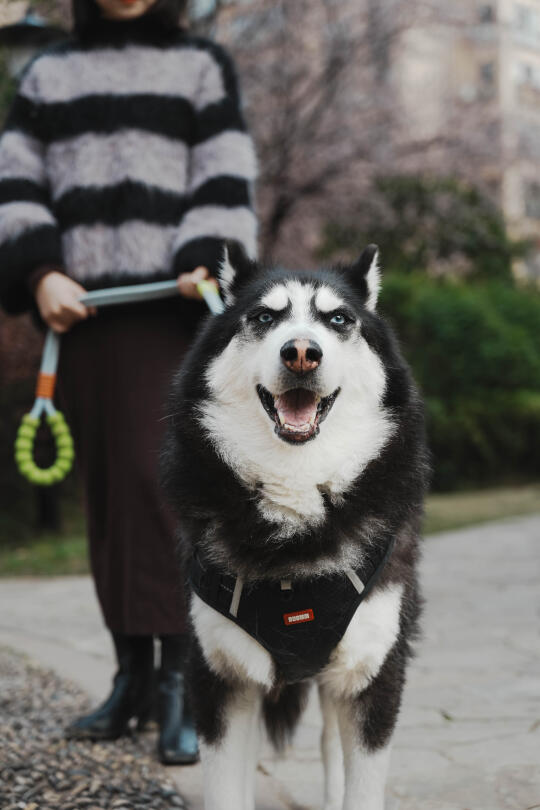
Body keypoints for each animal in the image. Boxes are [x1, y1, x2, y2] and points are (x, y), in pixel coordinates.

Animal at [162, 243, 428, 808]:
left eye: (339, 319)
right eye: (265, 317)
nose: (302, 352)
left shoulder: (373, 671)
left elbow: (360, 784)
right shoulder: (219, 674)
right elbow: (227, 786)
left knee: (330, 746)